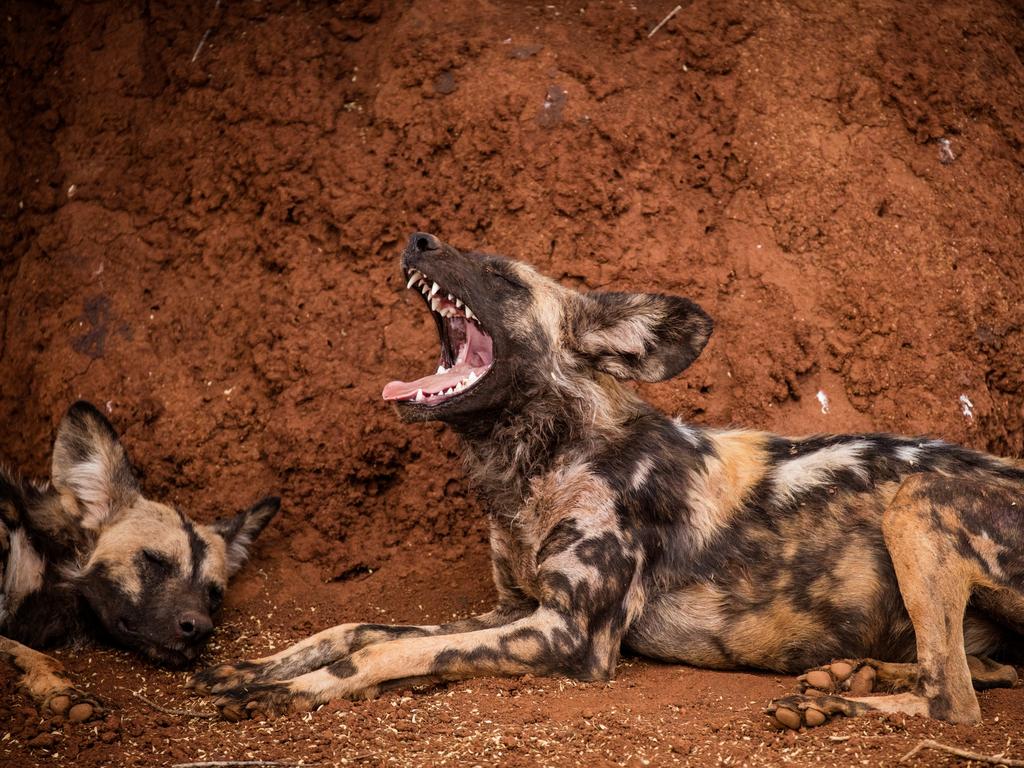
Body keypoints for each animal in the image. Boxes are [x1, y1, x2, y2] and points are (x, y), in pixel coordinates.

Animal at [193, 233, 1024, 729]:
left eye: (500, 277)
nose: (418, 238)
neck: (537, 470)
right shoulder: (513, 609)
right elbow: (356, 630)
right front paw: (250, 672)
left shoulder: (569, 634)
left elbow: (377, 654)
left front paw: (292, 691)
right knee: (980, 673)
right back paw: (843, 679)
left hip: (917, 503)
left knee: (956, 703)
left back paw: (833, 708)